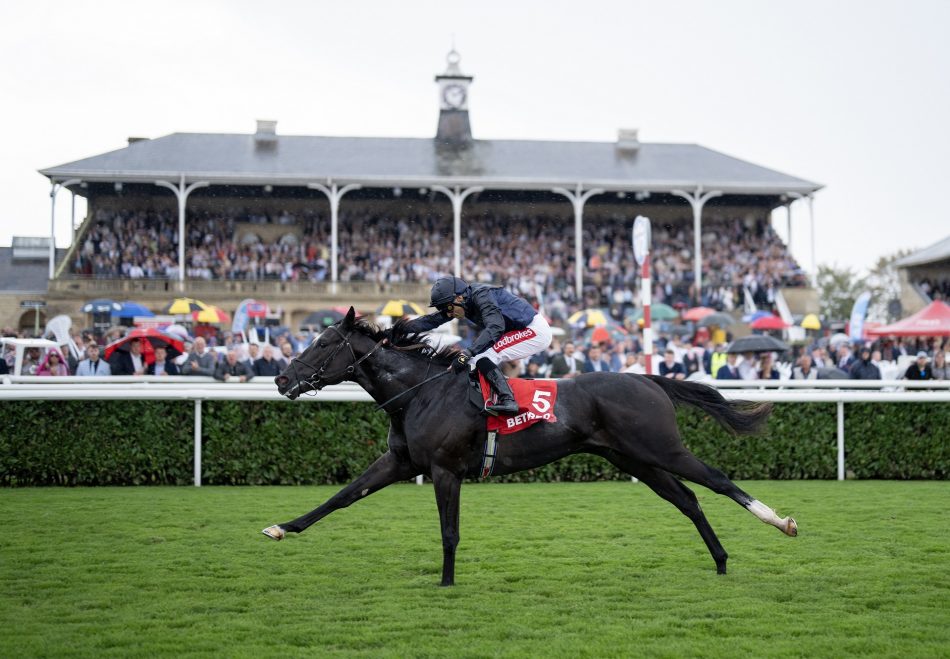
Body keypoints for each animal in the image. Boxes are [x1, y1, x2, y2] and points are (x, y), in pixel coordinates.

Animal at [266, 308, 797, 585]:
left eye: (322, 344)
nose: (281, 378)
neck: (421, 391)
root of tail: (645, 378)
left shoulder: (444, 470)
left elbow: (449, 532)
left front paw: (446, 582)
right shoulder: (401, 462)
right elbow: (341, 496)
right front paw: (280, 527)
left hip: (660, 448)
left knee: (718, 481)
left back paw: (781, 523)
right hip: (633, 458)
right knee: (687, 499)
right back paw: (721, 561)